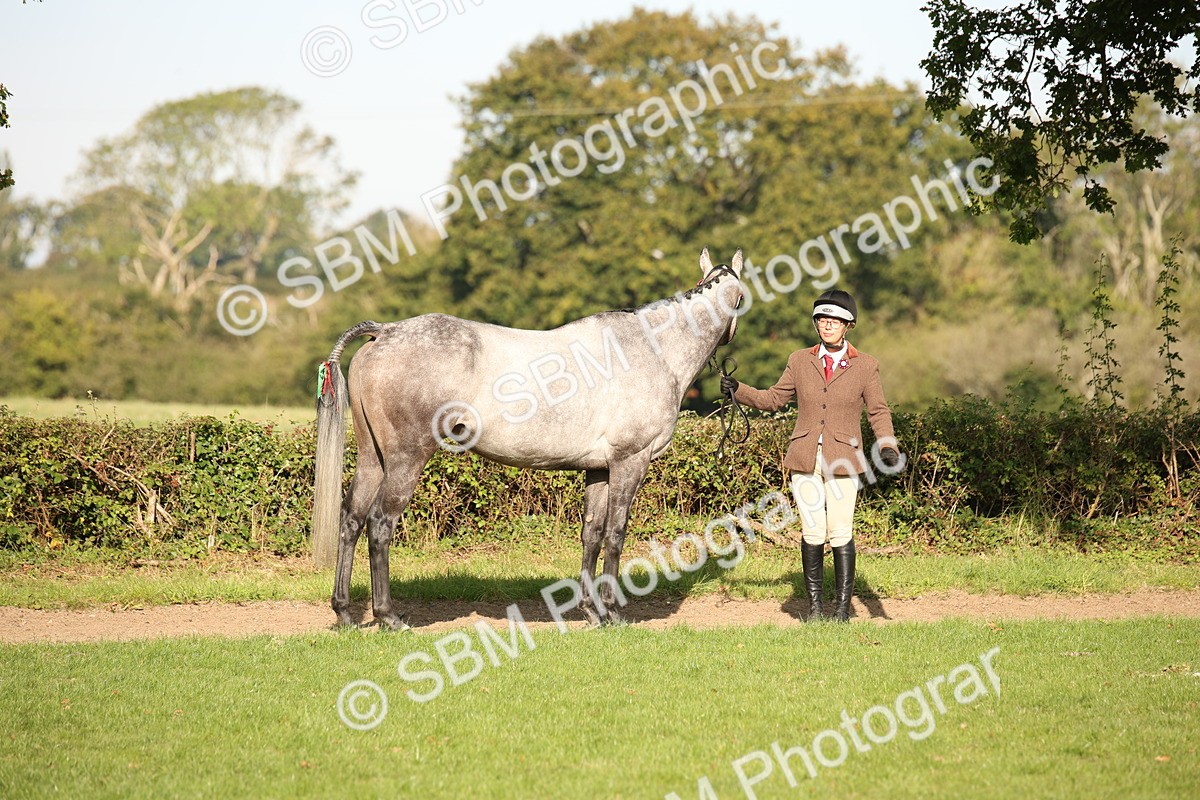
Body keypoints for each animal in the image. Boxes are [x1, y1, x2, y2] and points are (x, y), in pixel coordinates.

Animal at [312, 248, 746, 629]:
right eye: (742, 298)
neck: (650, 350)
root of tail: (385, 332)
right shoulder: (629, 462)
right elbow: (615, 534)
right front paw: (613, 612)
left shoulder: (599, 470)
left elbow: (591, 534)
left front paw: (592, 612)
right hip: (406, 459)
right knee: (380, 523)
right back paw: (389, 617)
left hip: (373, 458)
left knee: (351, 519)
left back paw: (344, 612)